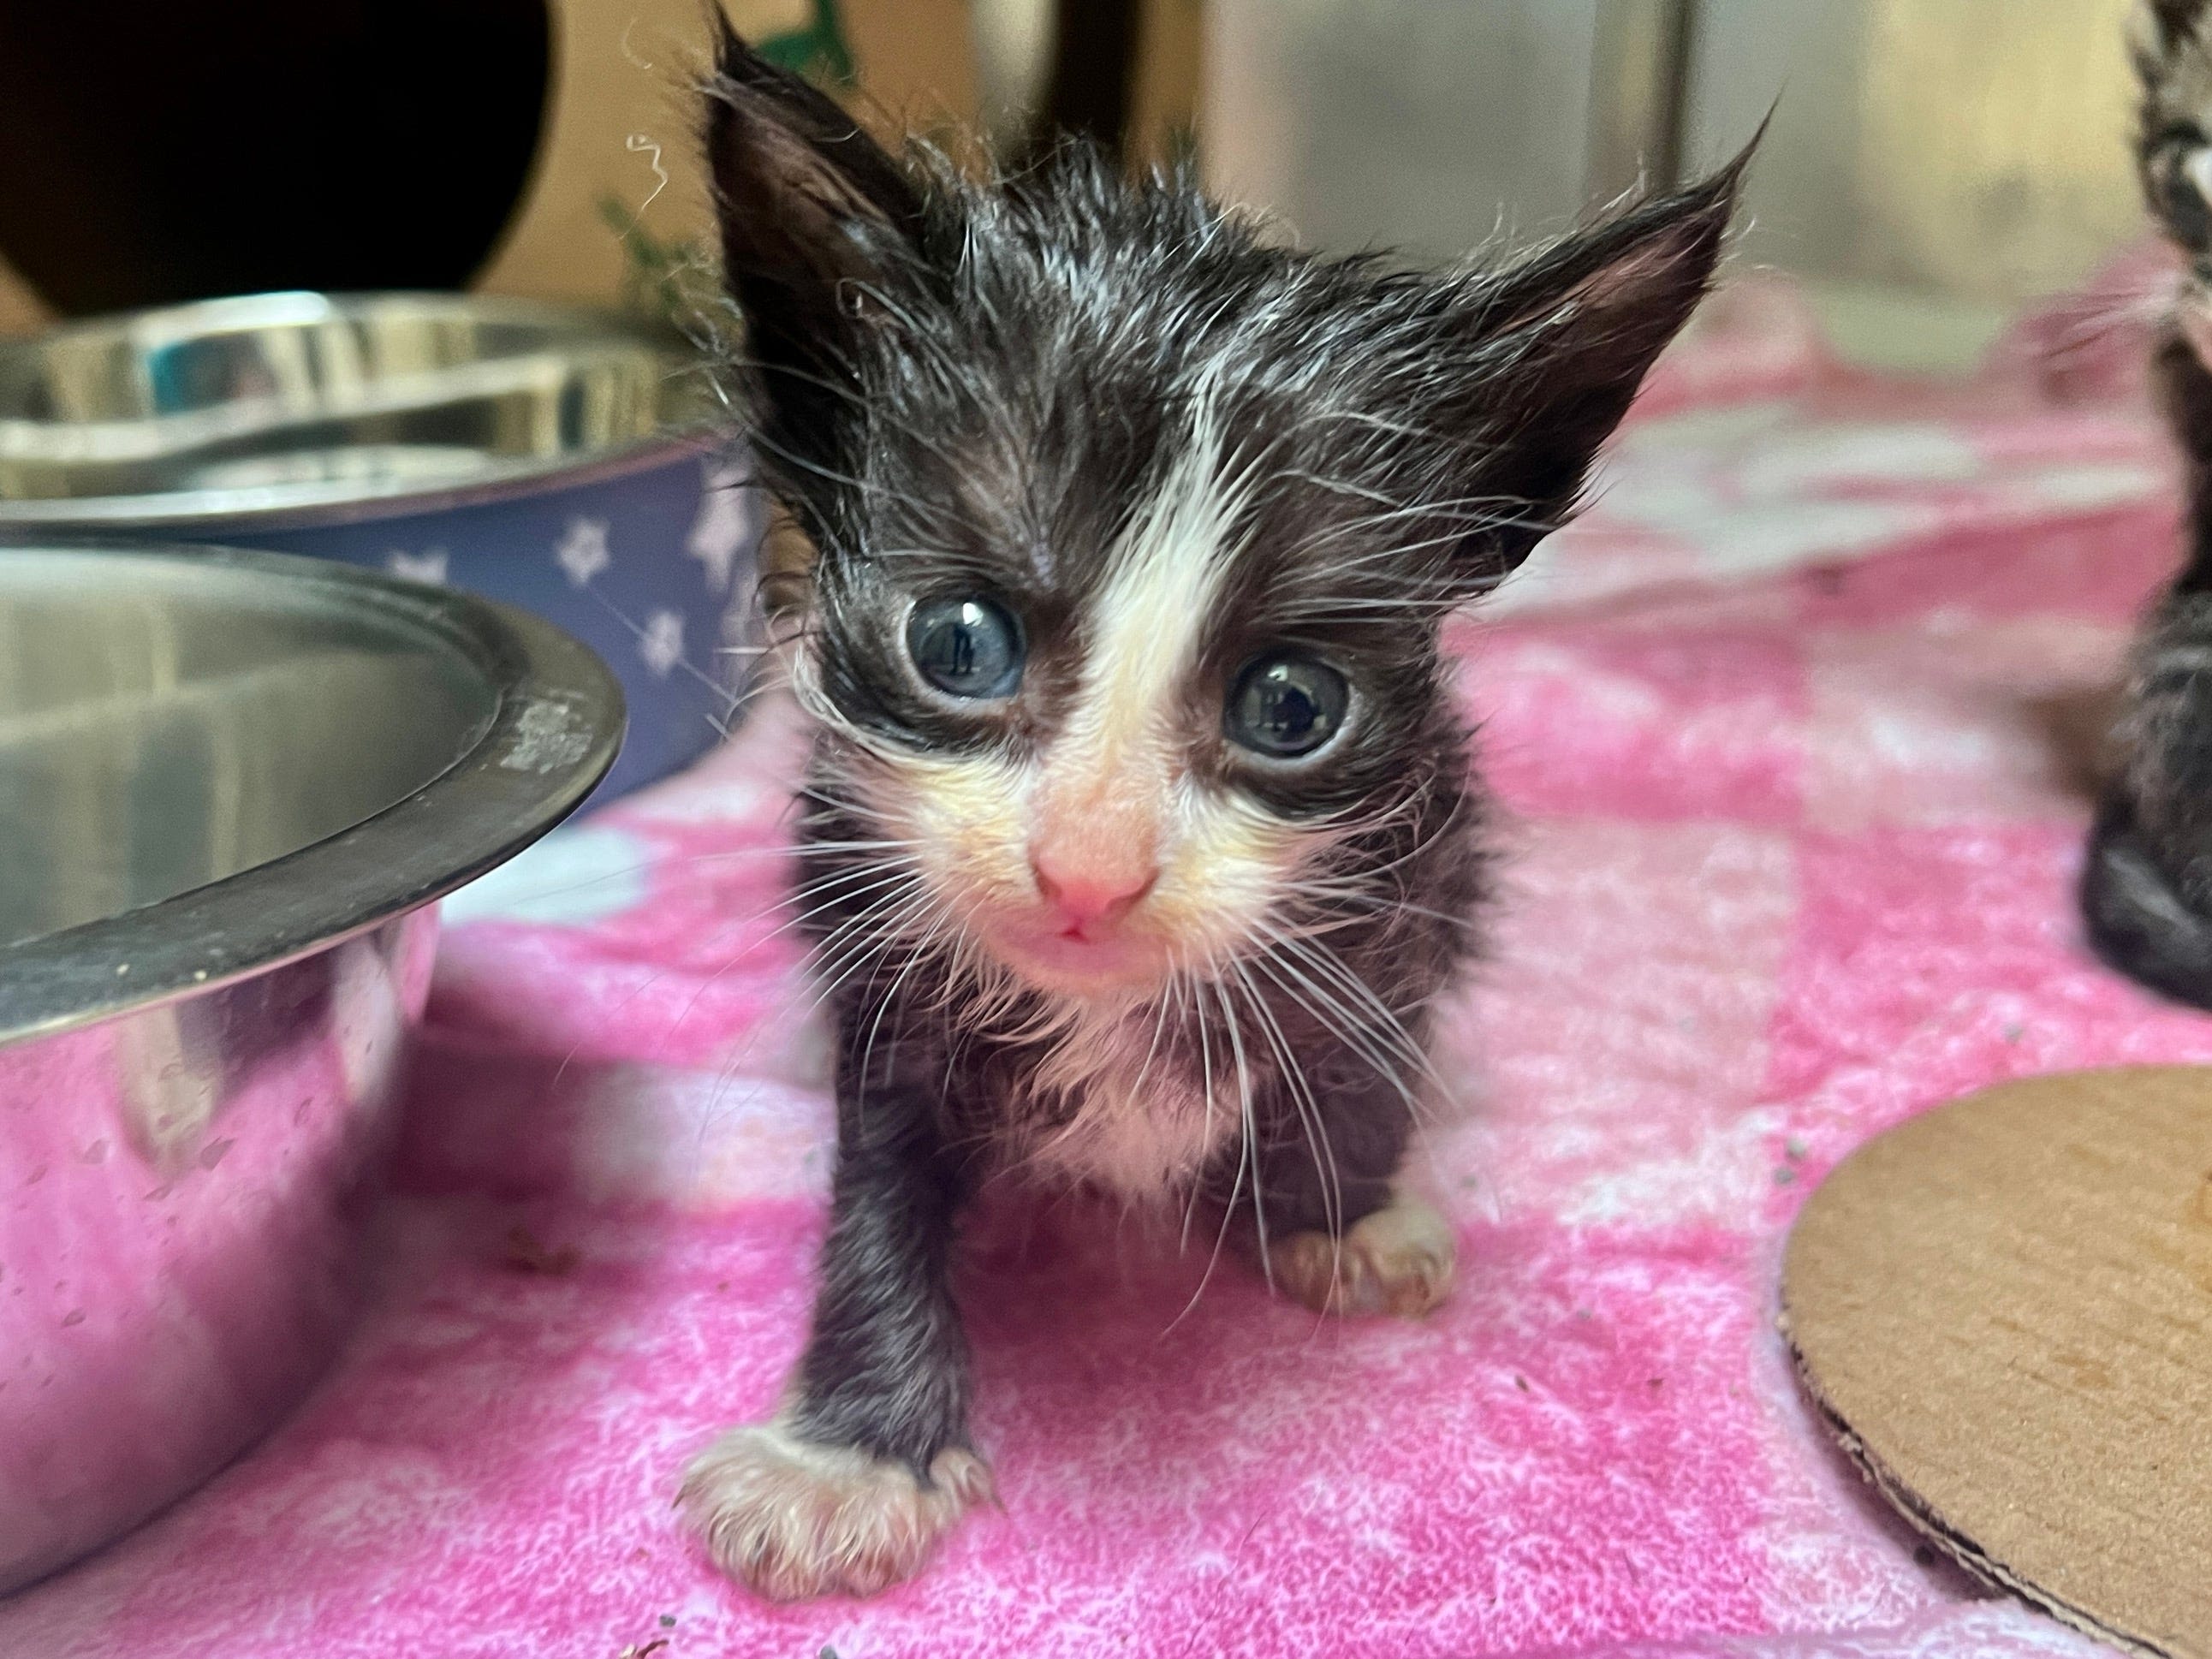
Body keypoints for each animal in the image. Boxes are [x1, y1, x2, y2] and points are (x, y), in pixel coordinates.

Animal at [672, 19, 1743, 1601]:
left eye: (1289, 706)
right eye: (957, 643)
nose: (1086, 872)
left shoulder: (1414, 882)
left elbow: (1367, 1053)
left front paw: (1339, 1213)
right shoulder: (874, 948)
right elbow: (879, 1180)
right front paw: (853, 1453)